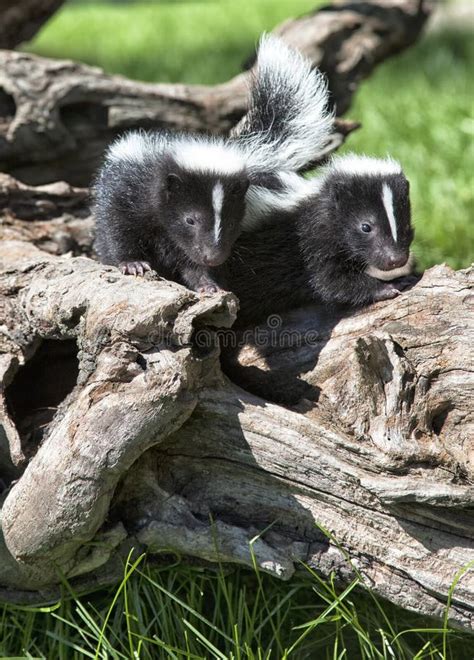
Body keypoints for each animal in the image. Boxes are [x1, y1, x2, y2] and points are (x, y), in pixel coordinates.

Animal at [93, 34, 334, 292]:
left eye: (232, 222)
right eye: (190, 219)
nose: (214, 256)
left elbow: (190, 261)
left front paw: (209, 283)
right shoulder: (128, 192)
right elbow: (118, 229)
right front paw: (133, 263)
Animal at [226, 155, 414, 324]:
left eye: (405, 225)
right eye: (366, 227)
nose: (396, 259)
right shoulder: (310, 240)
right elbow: (331, 280)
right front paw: (388, 287)